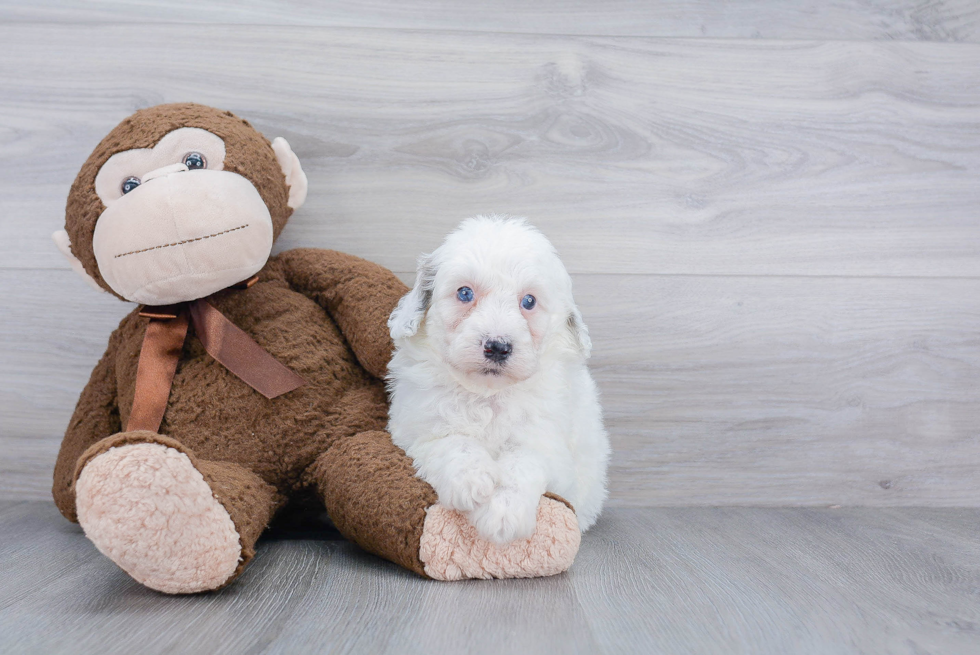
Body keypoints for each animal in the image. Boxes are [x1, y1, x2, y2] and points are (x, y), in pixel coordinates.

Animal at [386, 215, 608, 544]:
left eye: (529, 301)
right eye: (465, 293)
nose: (498, 346)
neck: (487, 395)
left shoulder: (548, 446)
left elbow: (521, 462)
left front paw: (502, 513)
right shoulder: (418, 429)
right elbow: (453, 441)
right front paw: (471, 481)